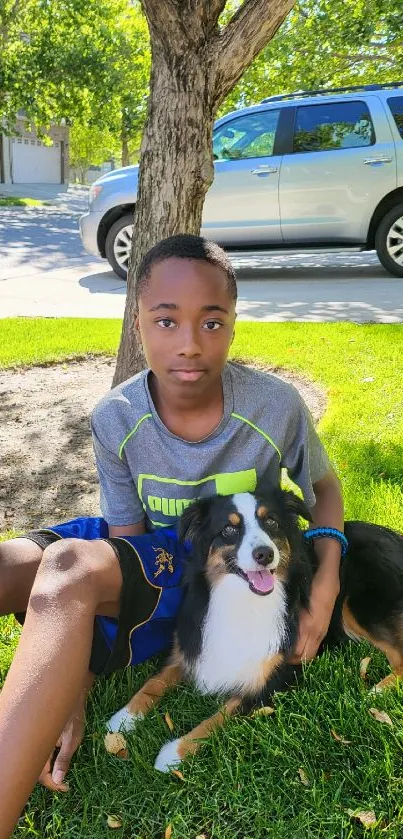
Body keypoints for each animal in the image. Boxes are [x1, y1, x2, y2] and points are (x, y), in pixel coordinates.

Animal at [107, 492, 403, 776]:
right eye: (229, 529)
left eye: (271, 522)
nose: (265, 554)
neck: (242, 599)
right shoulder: (190, 646)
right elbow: (153, 683)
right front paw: (122, 719)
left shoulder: (273, 678)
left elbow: (217, 717)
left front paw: (173, 753)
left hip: (358, 606)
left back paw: (375, 692)